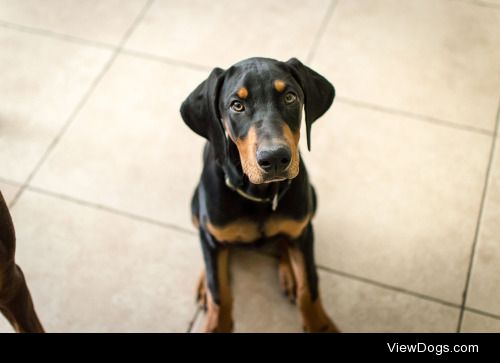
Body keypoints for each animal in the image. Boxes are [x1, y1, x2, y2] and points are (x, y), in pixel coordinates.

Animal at [179, 57, 336, 332]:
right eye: (237, 105)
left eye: (290, 97)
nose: (274, 158)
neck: (258, 194)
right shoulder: (212, 233)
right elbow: (218, 290)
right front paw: (216, 321)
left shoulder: (304, 232)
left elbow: (310, 285)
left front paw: (319, 324)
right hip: (195, 206)